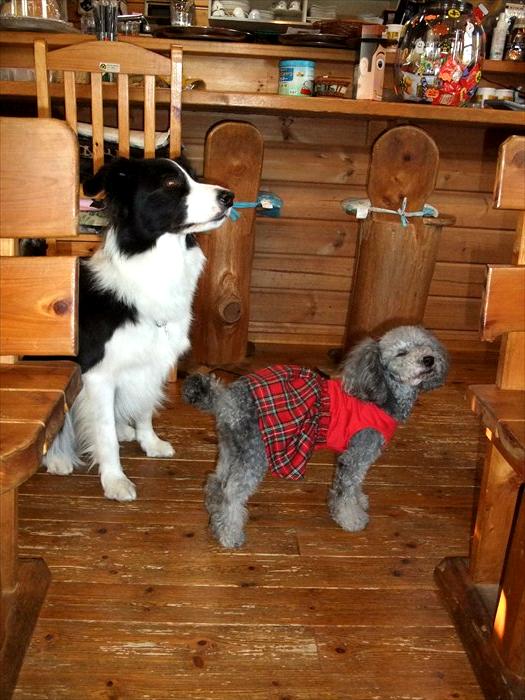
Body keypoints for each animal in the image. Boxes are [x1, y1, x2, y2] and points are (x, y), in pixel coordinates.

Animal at [44, 157, 233, 501]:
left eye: (194, 177)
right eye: (171, 183)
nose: (230, 197)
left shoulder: (155, 361)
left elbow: (145, 406)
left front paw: (150, 443)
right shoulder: (98, 375)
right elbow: (104, 435)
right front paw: (115, 481)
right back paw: (57, 458)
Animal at [182, 326, 449, 548]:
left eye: (426, 346)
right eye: (401, 353)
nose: (428, 359)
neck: (381, 396)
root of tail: (228, 399)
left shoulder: (354, 456)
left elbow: (355, 486)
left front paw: (360, 501)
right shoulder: (356, 455)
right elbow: (346, 491)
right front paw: (352, 519)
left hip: (230, 450)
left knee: (216, 481)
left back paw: (214, 513)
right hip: (253, 456)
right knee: (232, 494)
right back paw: (229, 534)